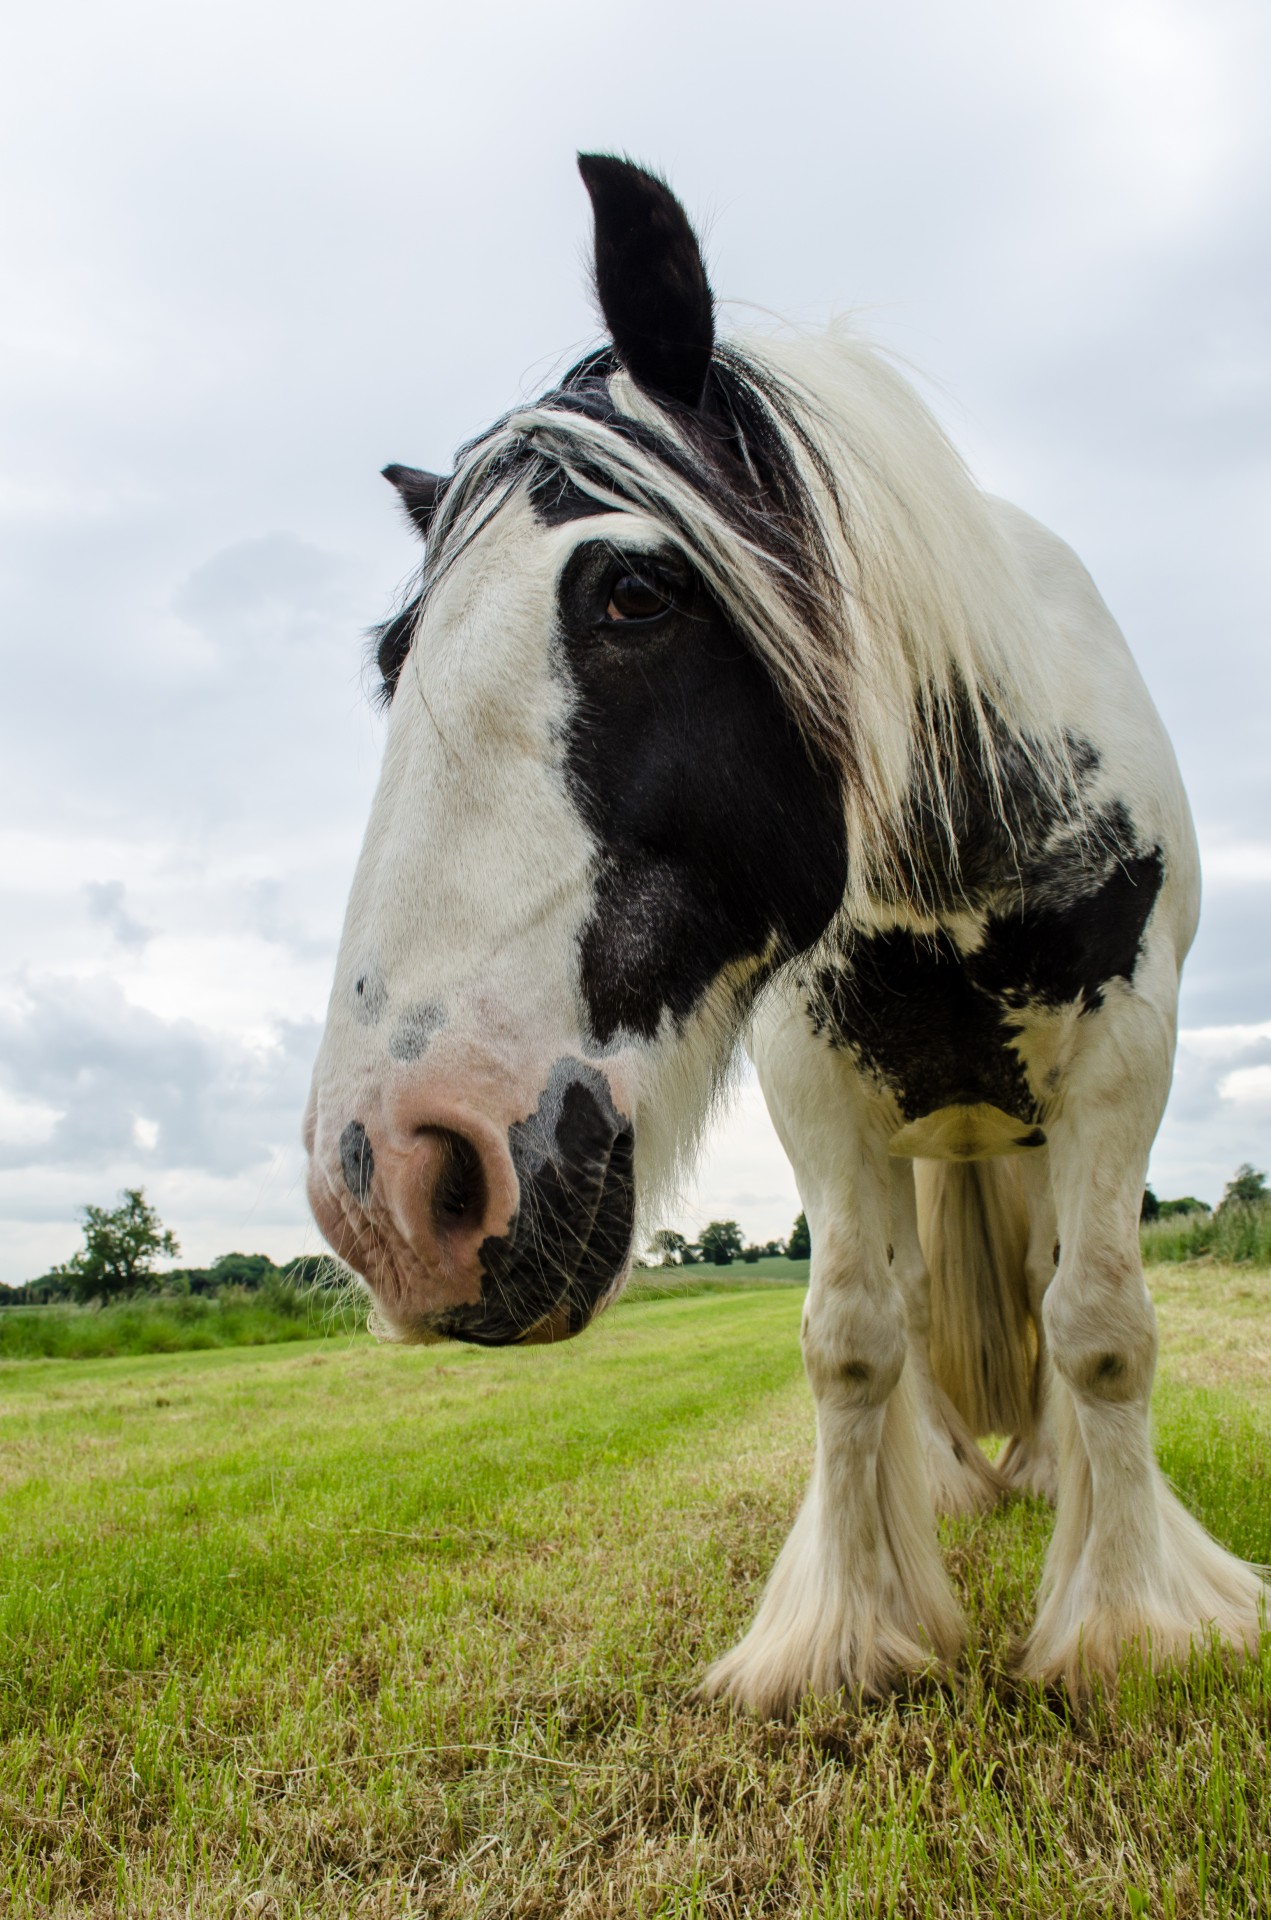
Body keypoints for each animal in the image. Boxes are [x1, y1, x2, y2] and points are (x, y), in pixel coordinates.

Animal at [303, 149, 1267, 1712]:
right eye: (397, 657)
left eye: (635, 593)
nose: (390, 1183)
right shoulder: (817, 1082)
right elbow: (853, 1344)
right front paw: (852, 1634)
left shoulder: (1126, 1049)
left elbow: (1100, 1332)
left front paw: (1133, 1625)